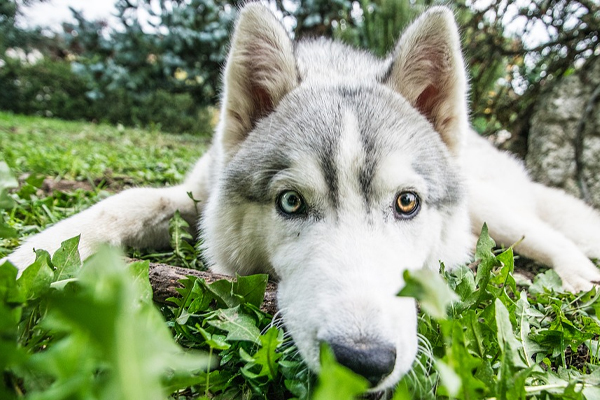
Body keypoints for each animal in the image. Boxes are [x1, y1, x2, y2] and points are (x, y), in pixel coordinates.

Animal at [7, 3, 600, 390]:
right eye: (291, 203)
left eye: (406, 203)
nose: (363, 361)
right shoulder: (194, 195)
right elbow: (125, 202)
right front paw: (24, 260)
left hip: (495, 213)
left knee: (554, 237)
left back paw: (578, 279)